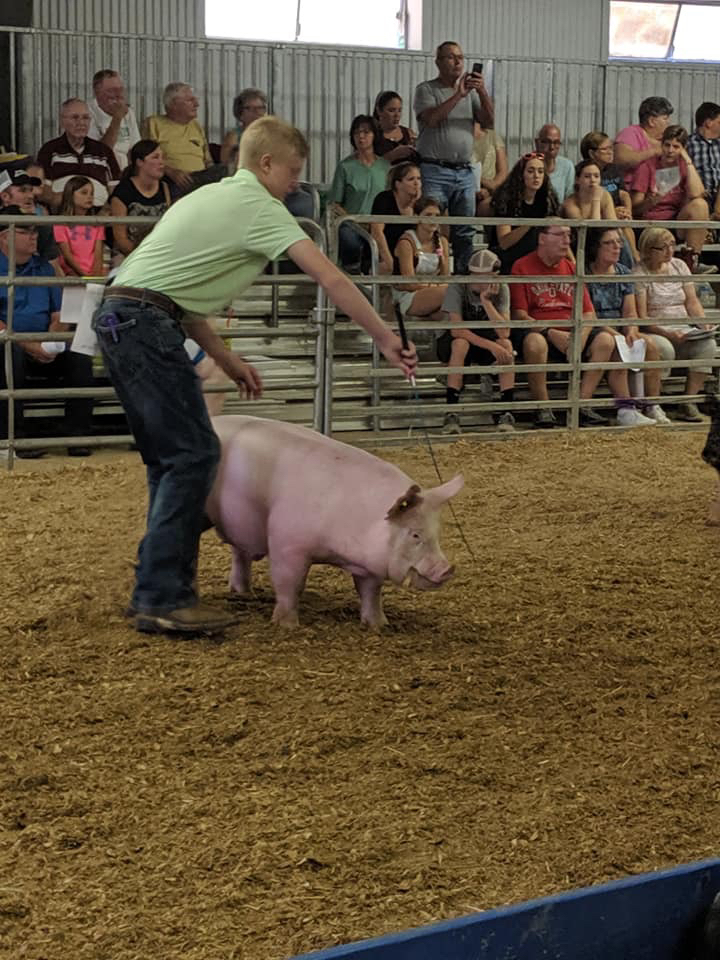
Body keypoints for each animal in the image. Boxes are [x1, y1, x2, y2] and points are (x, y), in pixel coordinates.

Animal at [202, 414, 464, 632]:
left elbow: (370, 592)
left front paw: (379, 625)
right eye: (415, 534)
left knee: (239, 554)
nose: (447, 568)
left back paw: (245, 594)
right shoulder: (287, 545)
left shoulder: (371, 564)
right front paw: (287, 626)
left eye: (437, 533)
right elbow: (289, 583)